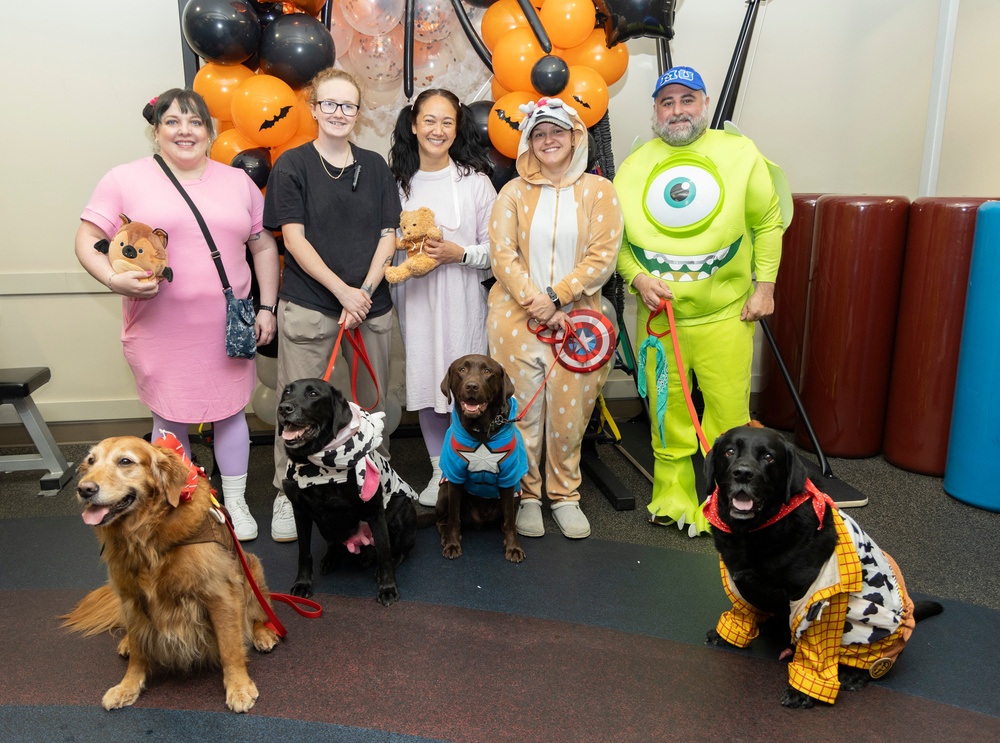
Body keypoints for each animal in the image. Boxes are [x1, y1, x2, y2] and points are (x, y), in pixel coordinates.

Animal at [61, 436, 282, 716]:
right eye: (90, 461)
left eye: (125, 461)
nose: (84, 489)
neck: (147, 536)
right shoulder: (131, 599)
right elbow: (139, 653)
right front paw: (127, 686)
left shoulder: (221, 594)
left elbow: (230, 646)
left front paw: (239, 687)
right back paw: (125, 643)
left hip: (252, 568)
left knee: (257, 614)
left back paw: (263, 634)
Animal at [276, 380, 416, 608]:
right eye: (287, 392)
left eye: (313, 394)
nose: (284, 408)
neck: (315, 465)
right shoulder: (300, 511)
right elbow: (304, 553)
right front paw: (303, 583)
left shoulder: (375, 512)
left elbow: (385, 553)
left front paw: (387, 588)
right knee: (335, 543)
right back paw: (332, 558)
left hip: (402, 510)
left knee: (399, 551)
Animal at [700, 424, 940, 708]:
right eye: (729, 451)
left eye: (769, 457)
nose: (743, 473)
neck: (754, 533)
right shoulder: (739, 583)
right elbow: (742, 612)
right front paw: (728, 635)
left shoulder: (816, 600)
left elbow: (816, 650)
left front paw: (803, 691)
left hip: (866, 618)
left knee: (878, 661)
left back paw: (854, 673)